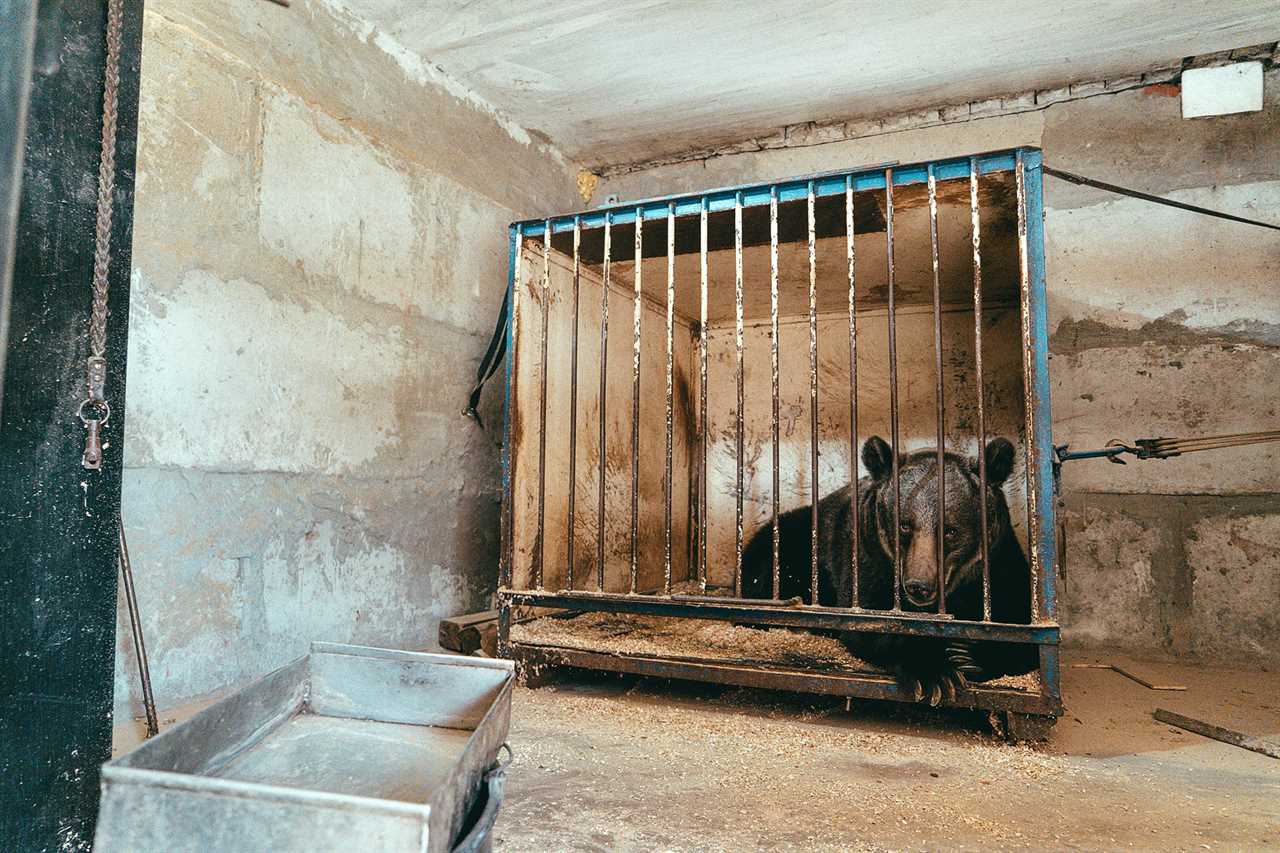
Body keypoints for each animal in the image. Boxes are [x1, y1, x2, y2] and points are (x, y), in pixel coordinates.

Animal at [742, 432, 1039, 701]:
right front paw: (934, 674)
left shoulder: (999, 563)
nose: (919, 585)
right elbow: (872, 621)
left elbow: (1019, 623)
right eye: (904, 525)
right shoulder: (868, 559)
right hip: (790, 546)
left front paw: (967, 654)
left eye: (950, 530)